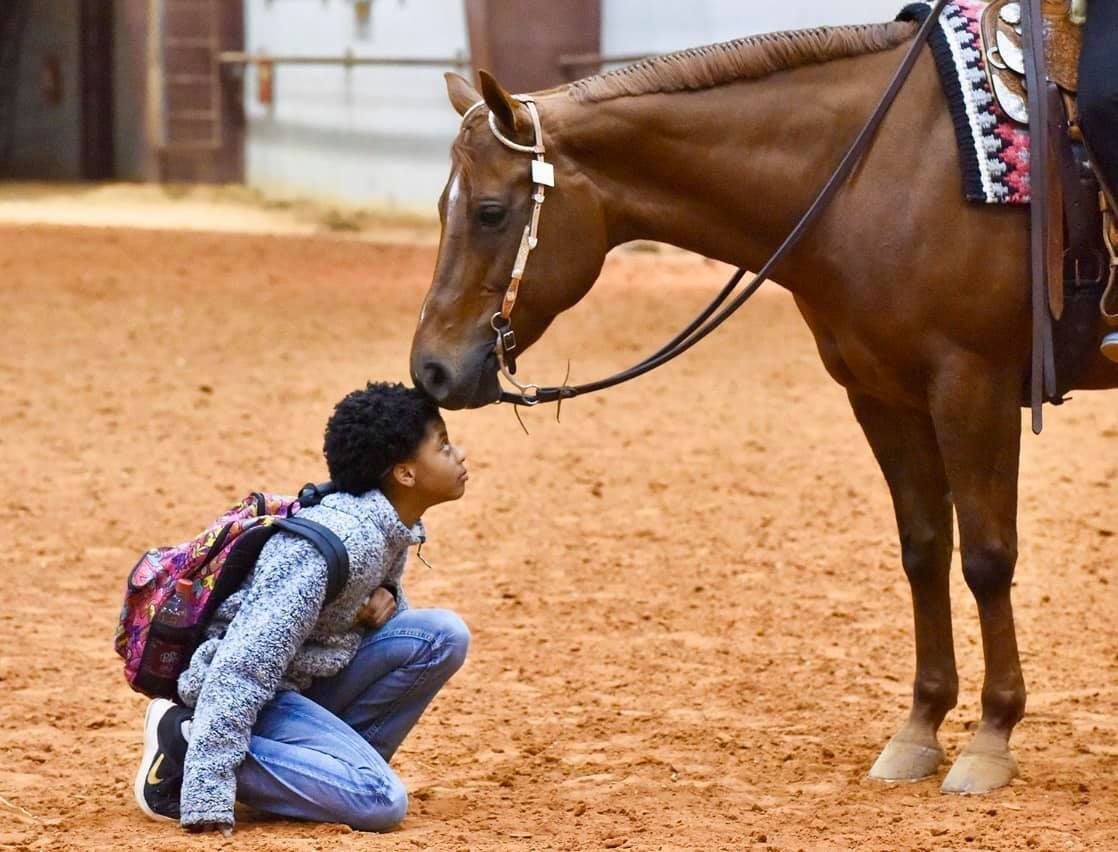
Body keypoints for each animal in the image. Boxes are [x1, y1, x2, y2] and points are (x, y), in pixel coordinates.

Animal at [409, 18, 1118, 791]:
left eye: (490, 212)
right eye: (442, 207)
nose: (431, 369)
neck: (886, 166)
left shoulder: (972, 385)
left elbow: (987, 557)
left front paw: (991, 737)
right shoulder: (882, 393)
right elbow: (925, 550)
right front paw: (920, 728)